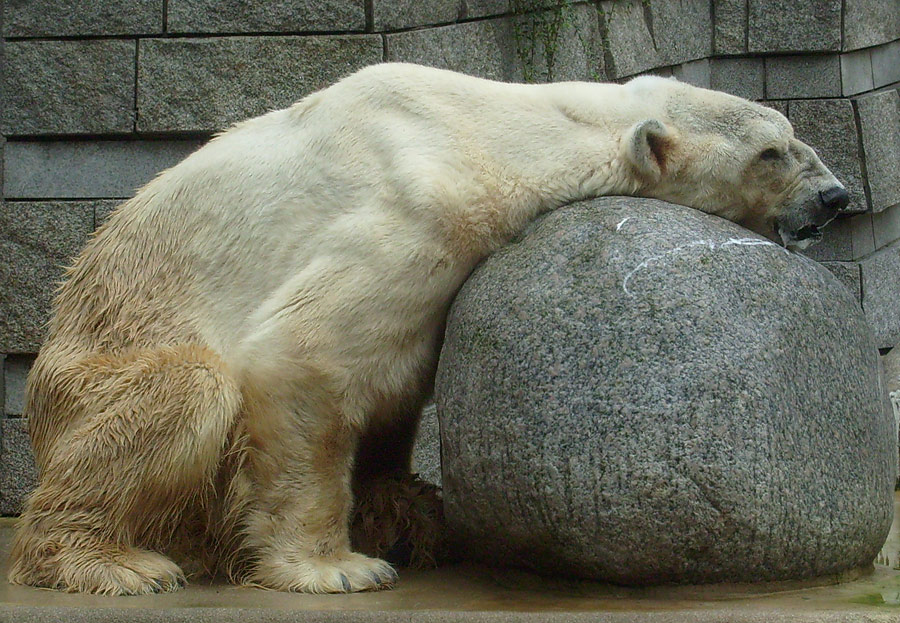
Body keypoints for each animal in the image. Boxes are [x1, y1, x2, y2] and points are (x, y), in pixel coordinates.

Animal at [10, 62, 848, 596]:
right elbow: (304, 357)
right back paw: (112, 562)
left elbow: (398, 383)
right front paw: (337, 566)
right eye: (771, 152)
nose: (836, 196)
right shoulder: (417, 207)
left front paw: (404, 513)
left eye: (792, 131)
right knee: (183, 389)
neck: (485, 128)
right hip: (93, 367)